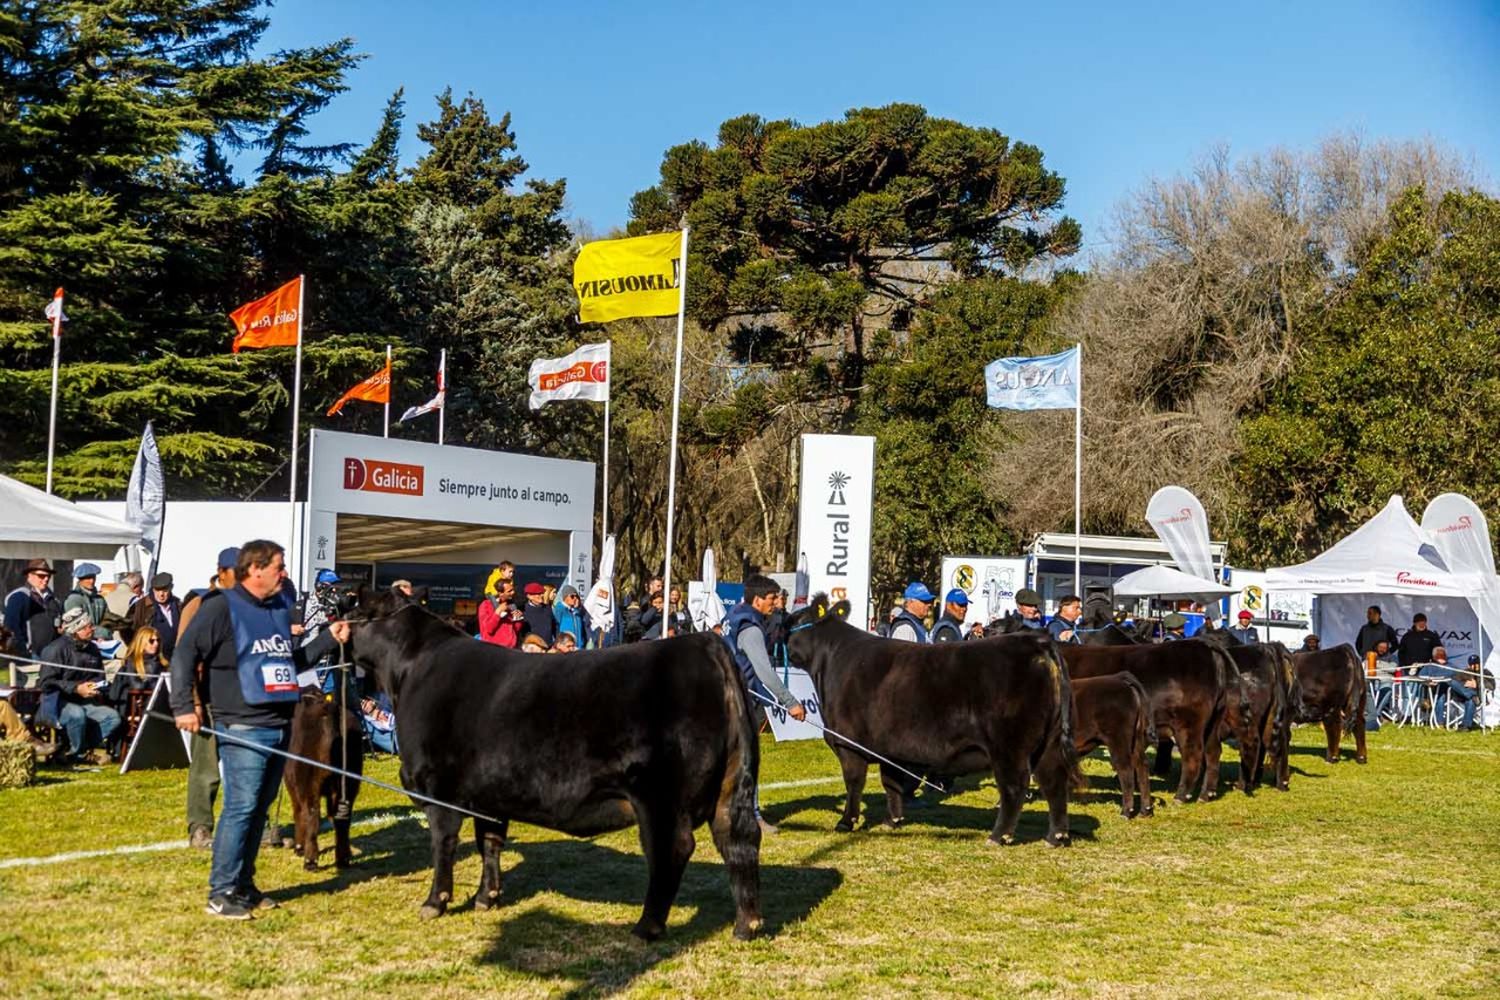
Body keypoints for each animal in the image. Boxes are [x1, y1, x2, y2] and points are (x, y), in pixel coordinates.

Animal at [348, 593, 762, 941]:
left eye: (355, 608)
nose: (337, 628)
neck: (411, 670)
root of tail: (705, 644)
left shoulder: (440, 788)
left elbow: (443, 844)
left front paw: (435, 902)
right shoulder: (488, 796)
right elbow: (490, 843)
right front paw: (487, 897)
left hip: (660, 797)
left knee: (673, 849)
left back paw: (647, 927)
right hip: (730, 787)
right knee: (738, 839)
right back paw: (747, 925)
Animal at [786, 599, 1080, 851]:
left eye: (797, 619)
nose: (781, 631)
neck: (834, 661)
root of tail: (1035, 641)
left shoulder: (848, 743)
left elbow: (854, 783)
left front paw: (846, 822)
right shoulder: (889, 748)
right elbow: (891, 783)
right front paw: (892, 821)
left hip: (1009, 747)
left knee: (1015, 786)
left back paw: (998, 836)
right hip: (1048, 742)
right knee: (1054, 781)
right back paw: (1056, 836)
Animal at [1062, 641, 1236, 803]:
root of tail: (1203, 644)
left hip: (1188, 725)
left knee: (1193, 755)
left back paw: (1180, 796)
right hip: (1213, 722)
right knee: (1213, 751)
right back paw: (1206, 795)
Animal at [1074, 671, 1152, 821]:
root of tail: (1118, 678)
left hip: (1118, 741)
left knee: (1125, 769)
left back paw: (1126, 812)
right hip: (1136, 740)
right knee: (1142, 766)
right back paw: (1145, 810)